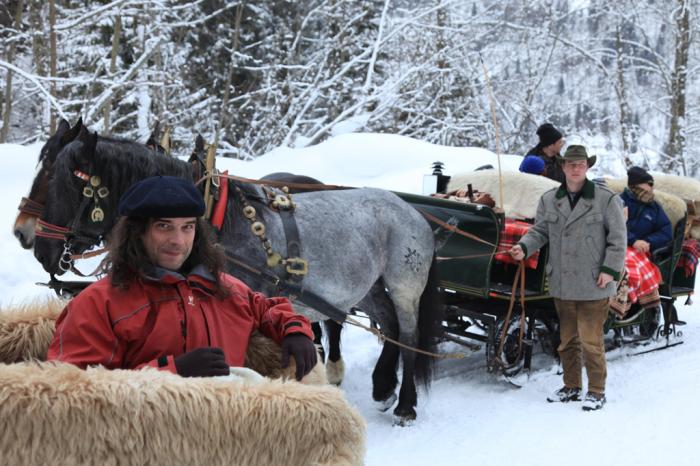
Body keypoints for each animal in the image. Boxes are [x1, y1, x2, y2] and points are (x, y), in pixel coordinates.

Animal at [32, 129, 442, 424]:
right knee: (388, 325)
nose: (40, 249)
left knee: (408, 335)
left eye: (63, 183)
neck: (213, 217)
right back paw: (383, 388)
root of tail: (414, 212)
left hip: (405, 283)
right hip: (367, 287)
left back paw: (405, 405)